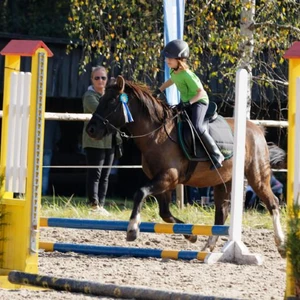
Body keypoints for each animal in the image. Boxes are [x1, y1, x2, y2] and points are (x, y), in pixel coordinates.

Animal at [86, 76, 286, 256]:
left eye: (111, 101)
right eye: (100, 99)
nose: (91, 129)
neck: (156, 135)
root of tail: (257, 129)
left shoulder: (168, 177)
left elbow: (140, 193)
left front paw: (132, 229)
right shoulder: (163, 183)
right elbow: (165, 213)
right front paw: (190, 236)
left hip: (256, 176)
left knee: (272, 203)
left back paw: (281, 245)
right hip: (223, 181)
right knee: (221, 213)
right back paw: (207, 248)